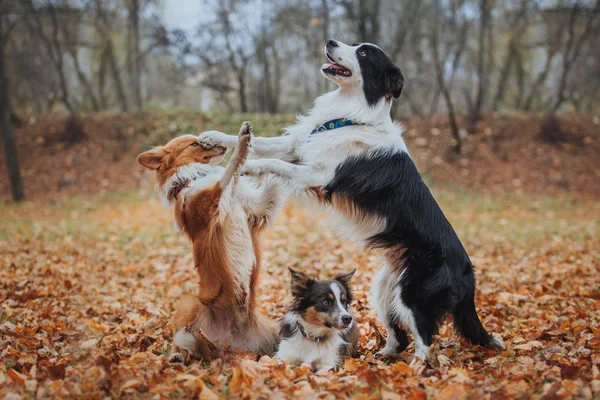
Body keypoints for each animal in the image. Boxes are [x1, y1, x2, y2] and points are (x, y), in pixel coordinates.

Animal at [137, 122, 288, 362]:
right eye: (194, 143)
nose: (220, 145)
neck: (192, 178)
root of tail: (229, 344)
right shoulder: (211, 203)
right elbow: (229, 171)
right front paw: (242, 143)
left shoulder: (257, 209)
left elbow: (269, 181)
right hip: (189, 303)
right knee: (180, 339)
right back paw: (176, 356)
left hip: (273, 331)